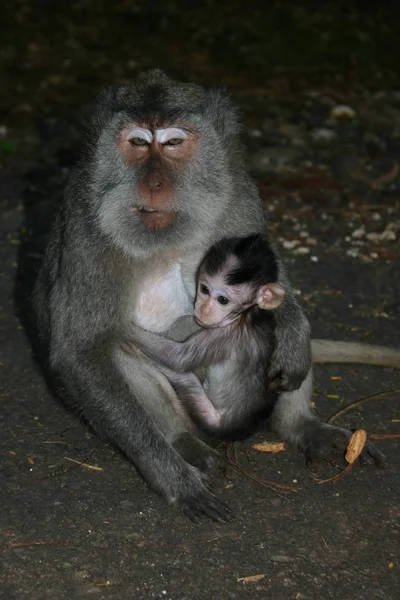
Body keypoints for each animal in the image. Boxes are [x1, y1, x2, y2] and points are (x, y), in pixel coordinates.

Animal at [128, 234, 284, 436]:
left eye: (223, 300)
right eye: (204, 289)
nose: (203, 309)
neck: (247, 314)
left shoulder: (226, 335)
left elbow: (179, 358)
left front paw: (121, 327)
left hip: (209, 418)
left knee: (185, 378)